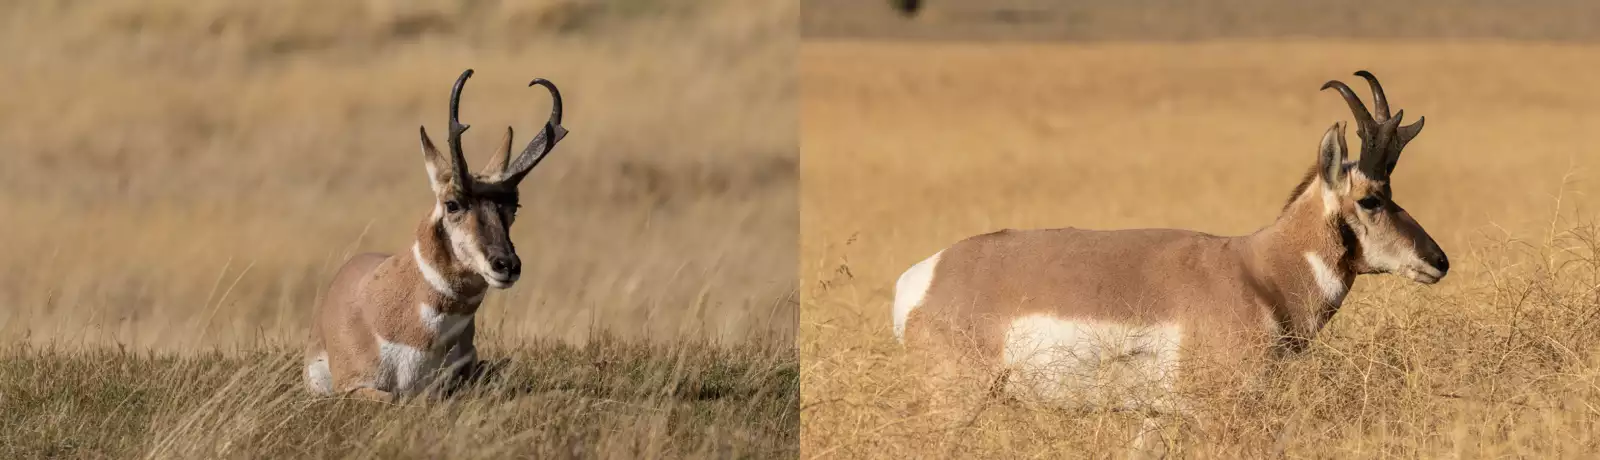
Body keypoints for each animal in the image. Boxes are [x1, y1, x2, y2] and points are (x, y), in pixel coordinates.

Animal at [896, 72, 1446, 447]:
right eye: (1372, 199)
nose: (1439, 260)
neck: (1259, 269)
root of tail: (925, 275)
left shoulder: (1158, 418)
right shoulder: (1222, 416)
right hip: (953, 404)